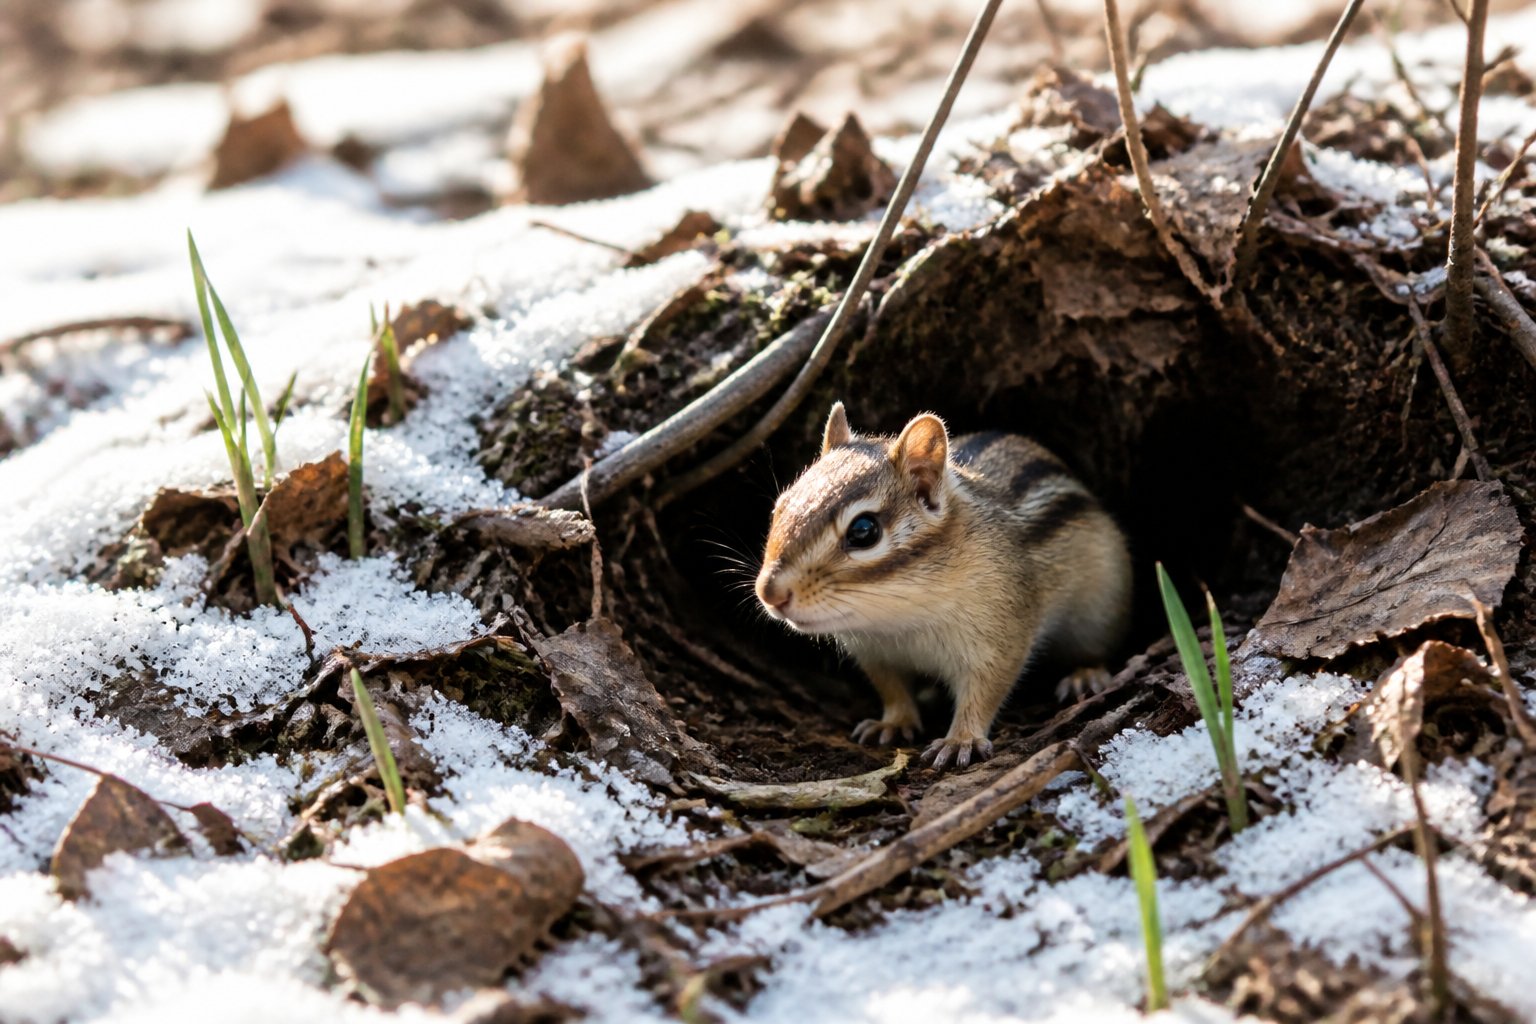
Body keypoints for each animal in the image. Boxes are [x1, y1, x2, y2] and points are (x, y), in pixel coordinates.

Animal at [755, 402, 1132, 770]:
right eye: (779, 507)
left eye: (864, 531)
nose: (769, 593)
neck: (901, 617)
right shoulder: (875, 653)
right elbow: (891, 689)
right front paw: (892, 722)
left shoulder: (1001, 636)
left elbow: (984, 691)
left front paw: (961, 739)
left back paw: (1085, 675)